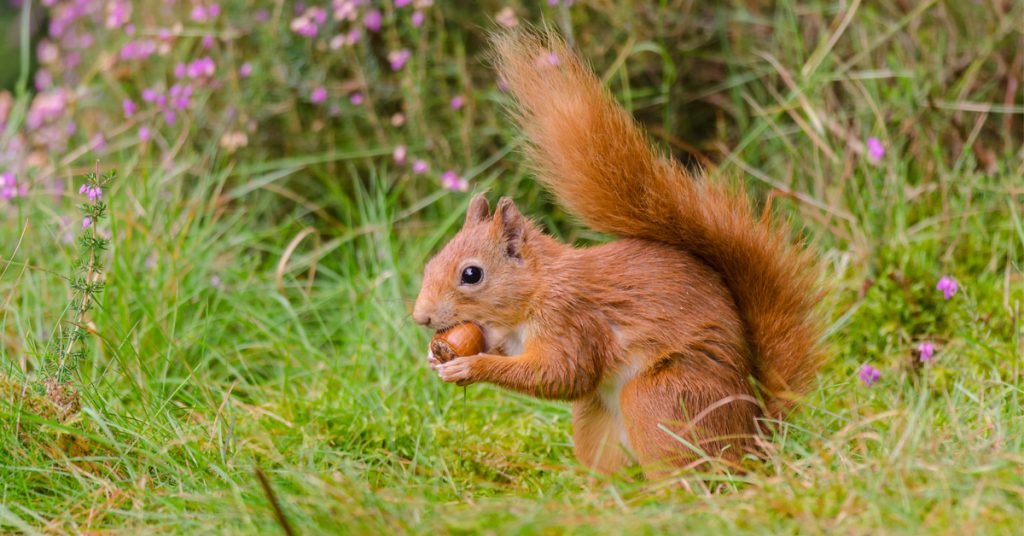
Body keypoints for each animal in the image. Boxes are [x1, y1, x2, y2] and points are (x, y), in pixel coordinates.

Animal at [411, 31, 819, 475]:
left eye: (471, 275)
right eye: (431, 262)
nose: (420, 317)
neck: (537, 290)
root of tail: (754, 436)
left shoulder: (571, 321)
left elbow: (560, 373)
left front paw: (471, 366)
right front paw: (437, 358)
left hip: (660, 398)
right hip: (596, 420)